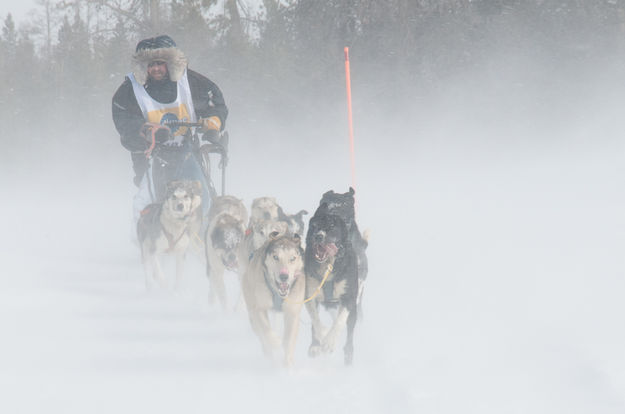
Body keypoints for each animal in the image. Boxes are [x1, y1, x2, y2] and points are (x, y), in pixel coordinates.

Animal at [241, 231, 304, 368]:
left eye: (292, 258)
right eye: (276, 257)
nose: (284, 276)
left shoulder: (292, 313)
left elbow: (288, 340)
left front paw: (288, 365)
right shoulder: (259, 309)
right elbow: (267, 332)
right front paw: (275, 342)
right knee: (261, 335)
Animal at [304, 201, 358, 366]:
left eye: (332, 226)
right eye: (314, 225)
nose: (318, 236)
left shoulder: (348, 297)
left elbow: (339, 322)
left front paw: (329, 341)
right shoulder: (310, 294)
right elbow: (315, 320)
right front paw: (320, 338)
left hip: (353, 311)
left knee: (349, 332)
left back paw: (348, 355)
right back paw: (315, 346)